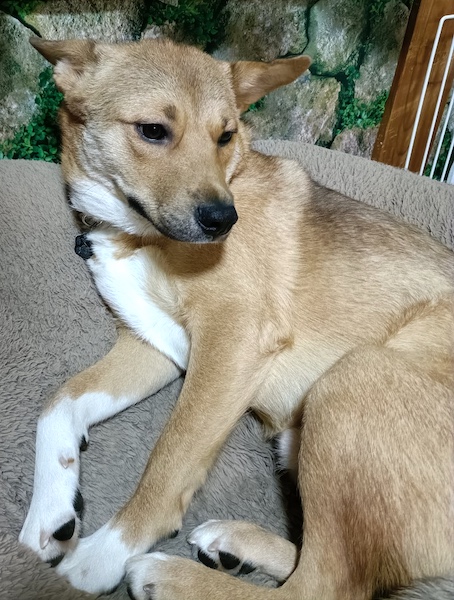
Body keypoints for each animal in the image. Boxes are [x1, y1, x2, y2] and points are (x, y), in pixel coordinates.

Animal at [19, 36, 454, 600]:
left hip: (353, 378)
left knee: (321, 586)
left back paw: (169, 575)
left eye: (226, 135)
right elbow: (57, 404)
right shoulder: (150, 347)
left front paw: (102, 554)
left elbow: (169, 460)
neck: (136, 234)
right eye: (152, 131)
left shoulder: (232, 339)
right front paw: (48, 514)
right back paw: (236, 544)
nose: (223, 221)